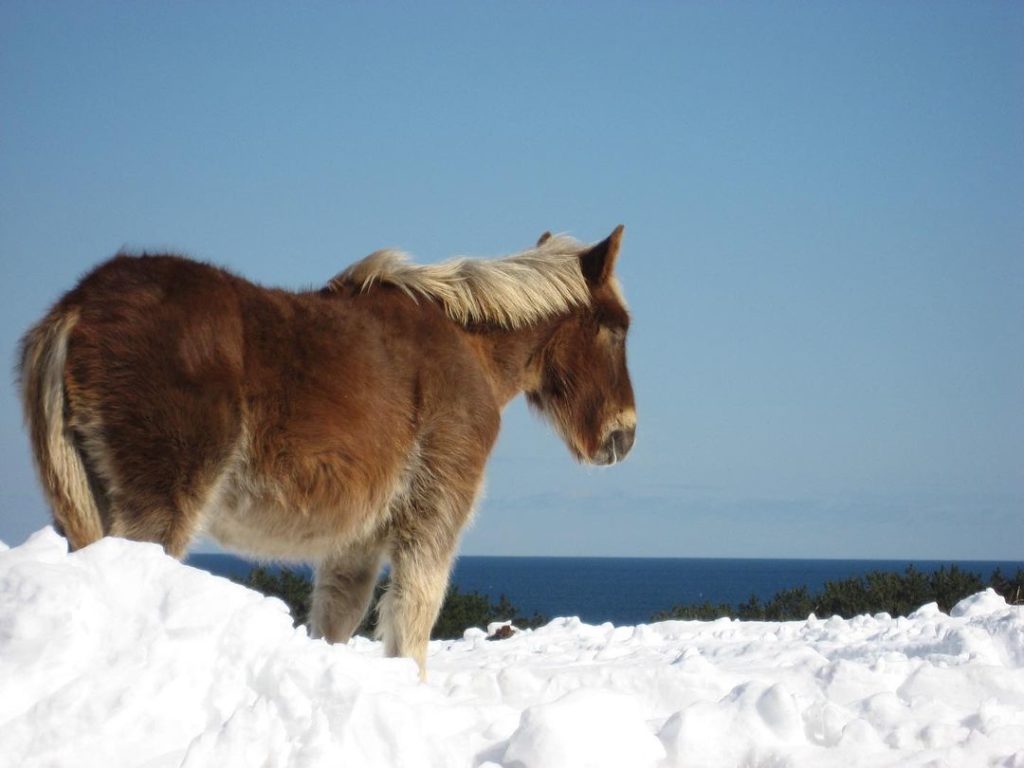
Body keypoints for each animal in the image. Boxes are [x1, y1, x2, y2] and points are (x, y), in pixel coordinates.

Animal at [19, 226, 636, 679]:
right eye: (617, 329)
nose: (624, 436)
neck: (468, 349)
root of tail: (78, 306)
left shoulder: (355, 541)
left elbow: (337, 622)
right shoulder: (431, 521)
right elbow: (412, 622)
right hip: (156, 508)